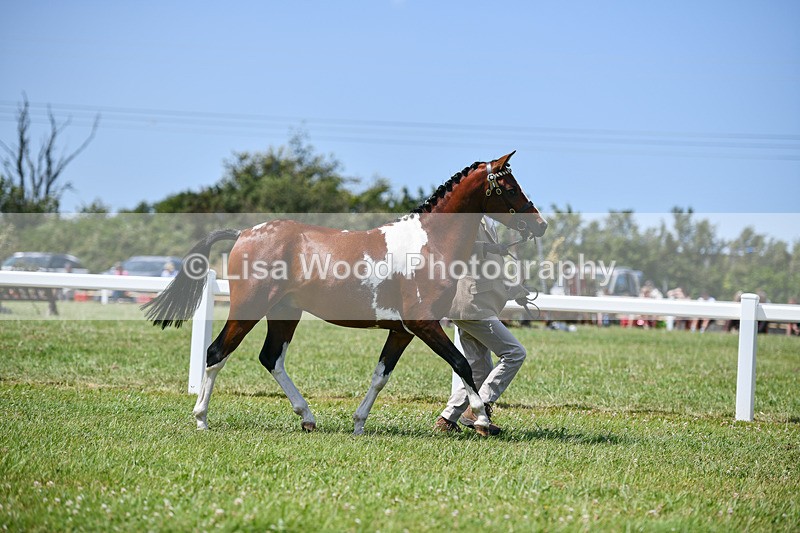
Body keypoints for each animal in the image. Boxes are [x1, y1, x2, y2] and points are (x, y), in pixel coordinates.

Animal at [142, 151, 548, 435]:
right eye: (510, 188)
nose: (540, 224)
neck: (429, 244)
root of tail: (244, 233)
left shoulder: (402, 331)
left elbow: (381, 375)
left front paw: (358, 422)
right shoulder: (424, 324)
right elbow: (462, 364)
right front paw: (482, 419)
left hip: (285, 313)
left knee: (271, 358)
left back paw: (307, 417)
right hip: (249, 308)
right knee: (217, 353)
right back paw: (201, 419)